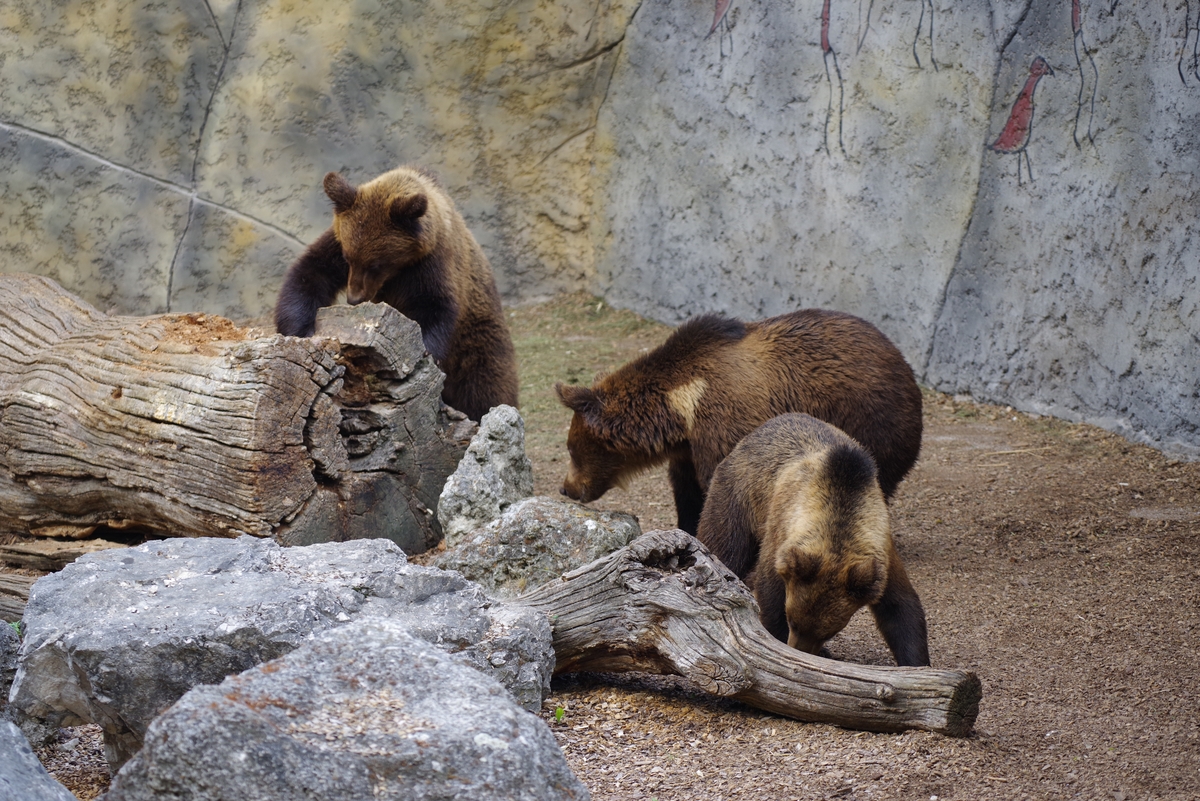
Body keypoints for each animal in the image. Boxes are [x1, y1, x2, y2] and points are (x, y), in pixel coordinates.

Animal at [276, 165, 520, 422]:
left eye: (376, 264)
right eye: (348, 257)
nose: (354, 298)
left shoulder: (433, 266)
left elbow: (434, 309)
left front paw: (421, 356)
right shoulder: (336, 241)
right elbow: (310, 273)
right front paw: (302, 332)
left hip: (478, 344)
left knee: (483, 388)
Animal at [556, 309, 921, 534]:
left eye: (571, 449)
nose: (566, 488)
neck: (681, 408)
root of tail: (901, 359)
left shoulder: (725, 422)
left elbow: (722, 483)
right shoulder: (688, 448)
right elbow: (687, 490)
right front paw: (687, 526)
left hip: (870, 418)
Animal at [696, 410, 926, 666]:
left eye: (829, 631)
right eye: (792, 621)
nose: (801, 648)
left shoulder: (880, 554)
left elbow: (900, 607)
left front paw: (916, 664)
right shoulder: (780, 535)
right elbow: (770, 594)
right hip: (736, 499)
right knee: (725, 549)